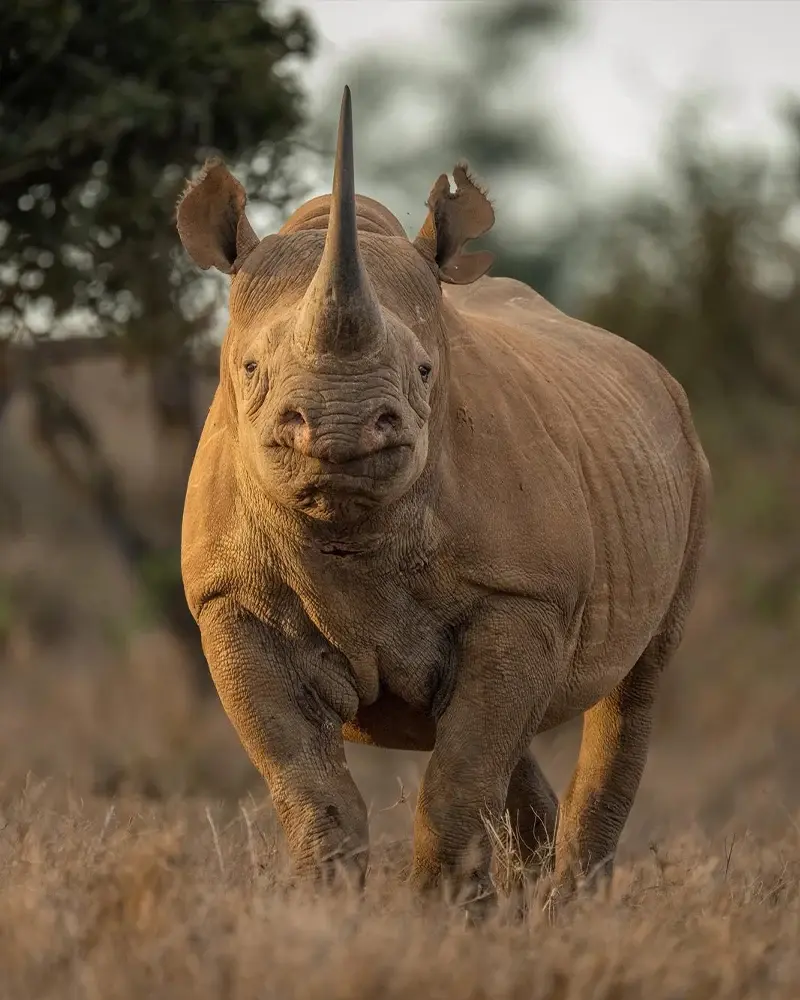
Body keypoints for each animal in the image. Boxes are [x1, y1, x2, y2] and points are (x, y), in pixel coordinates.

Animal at [176, 87, 711, 913]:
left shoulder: (521, 596)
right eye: (250, 368)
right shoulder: (230, 599)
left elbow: (458, 782)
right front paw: (324, 913)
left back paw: (570, 910)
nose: (340, 426)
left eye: (425, 371)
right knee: (511, 735)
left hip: (688, 459)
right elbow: (311, 787)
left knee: (631, 692)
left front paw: (441, 919)